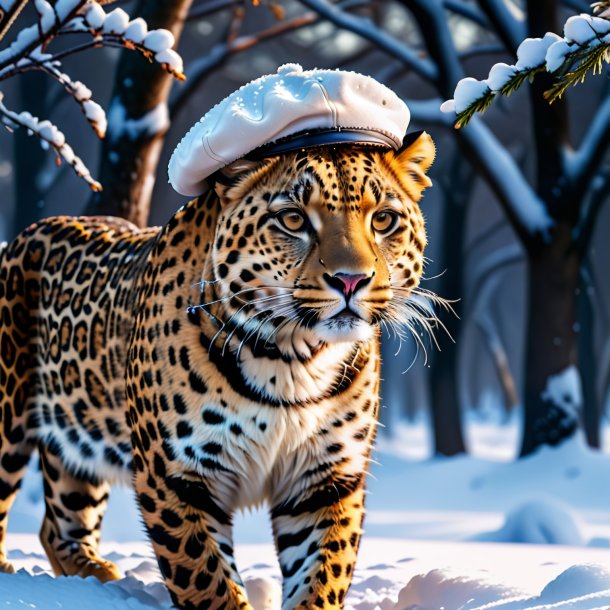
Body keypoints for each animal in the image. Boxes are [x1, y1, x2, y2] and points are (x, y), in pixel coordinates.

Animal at [1, 133, 436, 608]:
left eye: (384, 220)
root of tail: (30, 230)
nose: (351, 281)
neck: (293, 360)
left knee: (59, 521)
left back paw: (95, 575)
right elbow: (207, 582)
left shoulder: (325, 479)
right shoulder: (176, 477)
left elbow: (322, 576)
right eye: (293, 219)